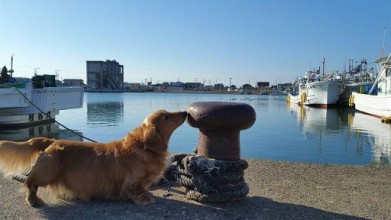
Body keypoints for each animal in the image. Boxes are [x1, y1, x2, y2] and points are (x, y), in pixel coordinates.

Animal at [0, 111, 188, 207]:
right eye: (166, 117)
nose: (186, 112)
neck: (143, 146)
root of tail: (51, 141)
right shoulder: (132, 182)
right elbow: (136, 191)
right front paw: (144, 199)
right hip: (49, 169)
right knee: (31, 184)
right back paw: (34, 200)